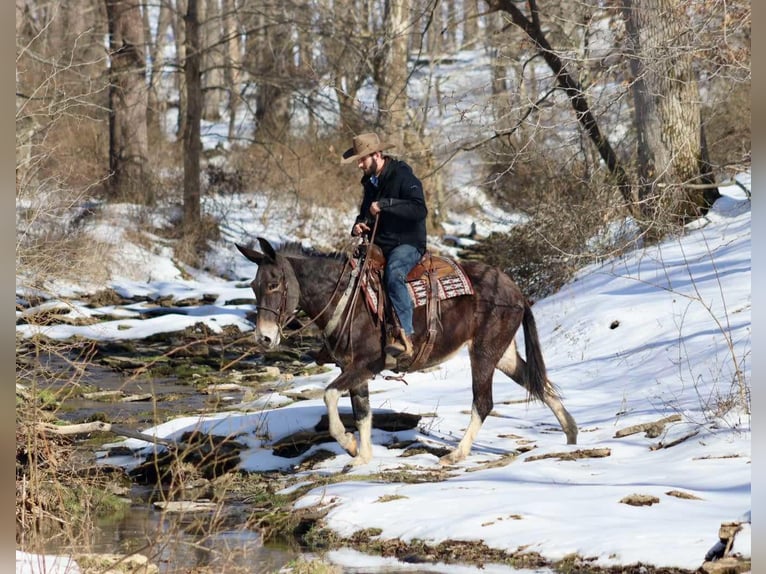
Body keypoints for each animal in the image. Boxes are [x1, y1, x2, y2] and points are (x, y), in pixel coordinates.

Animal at [236, 237, 577, 466]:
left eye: (275, 284)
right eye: (253, 286)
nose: (264, 337)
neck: (347, 299)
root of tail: (514, 289)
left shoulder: (366, 364)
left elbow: (330, 396)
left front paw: (349, 445)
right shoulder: (352, 369)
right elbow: (362, 413)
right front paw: (363, 457)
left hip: (483, 353)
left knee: (484, 402)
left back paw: (457, 453)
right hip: (502, 354)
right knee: (538, 384)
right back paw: (571, 435)